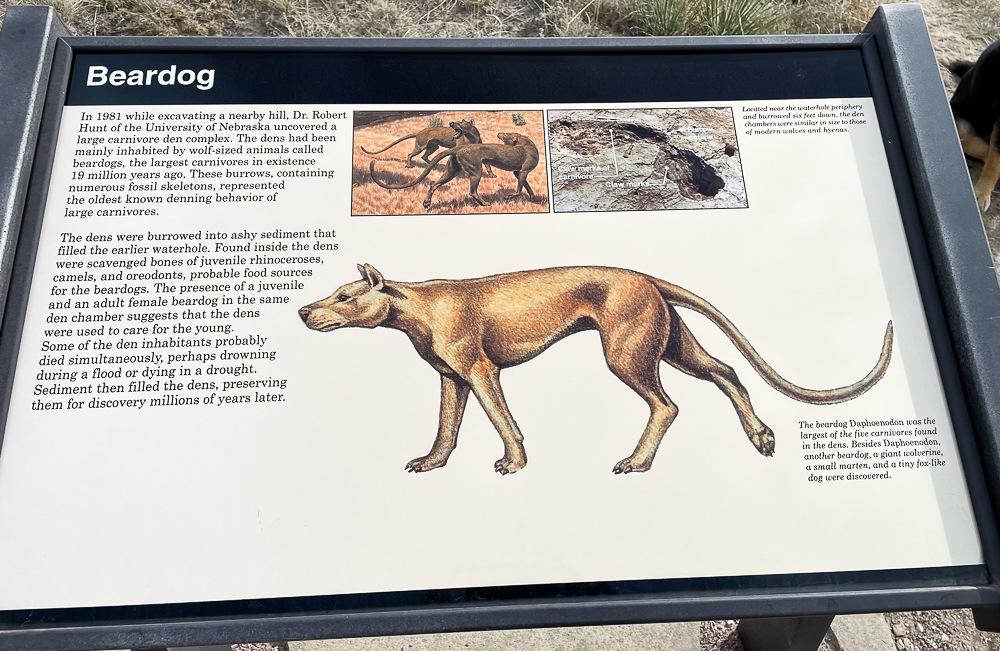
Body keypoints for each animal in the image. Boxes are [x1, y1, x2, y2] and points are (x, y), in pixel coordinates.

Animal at [296, 264, 892, 474]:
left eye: (344, 296)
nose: (303, 311)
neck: (416, 306)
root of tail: (647, 276)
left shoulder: (481, 371)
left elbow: (502, 421)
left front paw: (514, 463)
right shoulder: (450, 378)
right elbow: (446, 428)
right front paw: (431, 463)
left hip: (628, 355)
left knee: (668, 405)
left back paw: (637, 462)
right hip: (671, 344)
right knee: (728, 373)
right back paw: (761, 436)